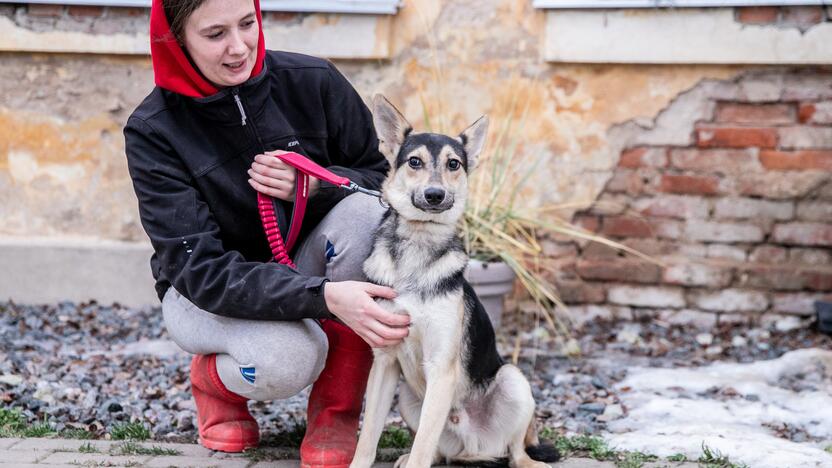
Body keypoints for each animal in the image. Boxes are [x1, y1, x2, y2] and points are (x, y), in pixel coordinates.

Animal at [346, 96, 560, 468]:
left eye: (454, 164)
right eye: (414, 162)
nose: (435, 194)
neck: (419, 243)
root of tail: (473, 446)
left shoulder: (441, 370)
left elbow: (422, 447)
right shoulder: (384, 363)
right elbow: (369, 437)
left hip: (514, 381)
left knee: (516, 453)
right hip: (407, 396)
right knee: (437, 452)